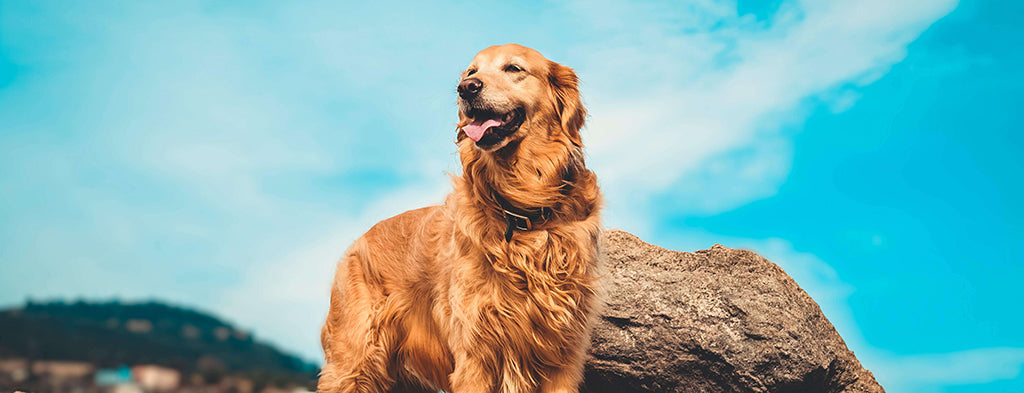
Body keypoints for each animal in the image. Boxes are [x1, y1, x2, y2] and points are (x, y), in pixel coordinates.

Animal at [319, 43, 602, 393]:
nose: (466, 88)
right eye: (471, 71)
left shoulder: (563, 358)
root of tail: (356, 243)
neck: (521, 206)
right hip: (354, 364)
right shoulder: (475, 354)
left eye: (514, 68)